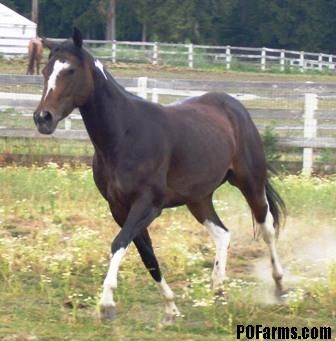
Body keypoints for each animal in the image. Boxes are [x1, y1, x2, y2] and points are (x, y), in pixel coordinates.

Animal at [33, 27, 286, 322]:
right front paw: (171, 307)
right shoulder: (118, 208)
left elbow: (119, 243)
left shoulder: (147, 205)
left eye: (70, 70)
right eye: (45, 70)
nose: (43, 118)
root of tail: (235, 107)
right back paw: (218, 291)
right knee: (222, 233)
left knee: (267, 227)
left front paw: (106, 304)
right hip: (198, 198)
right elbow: (147, 256)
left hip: (250, 183)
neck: (124, 135)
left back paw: (279, 285)